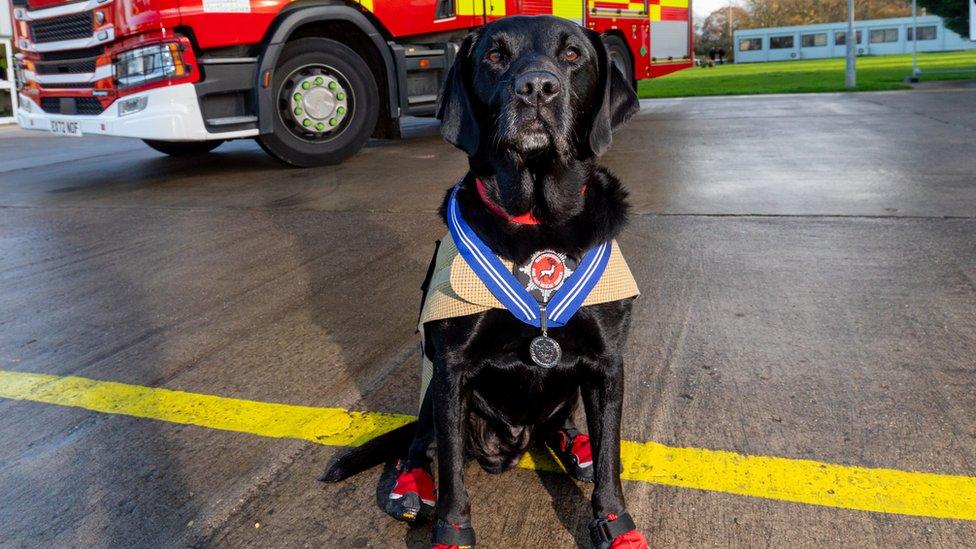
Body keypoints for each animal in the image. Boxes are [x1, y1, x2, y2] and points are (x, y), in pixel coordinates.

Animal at [326, 15, 648, 544]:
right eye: (495, 56)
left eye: (573, 55)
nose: (536, 88)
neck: (538, 222)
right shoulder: (452, 365)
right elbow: (453, 471)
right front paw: (451, 533)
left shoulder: (606, 363)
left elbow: (609, 460)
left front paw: (617, 526)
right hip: (434, 384)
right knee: (421, 441)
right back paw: (411, 486)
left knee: (564, 425)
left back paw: (574, 445)